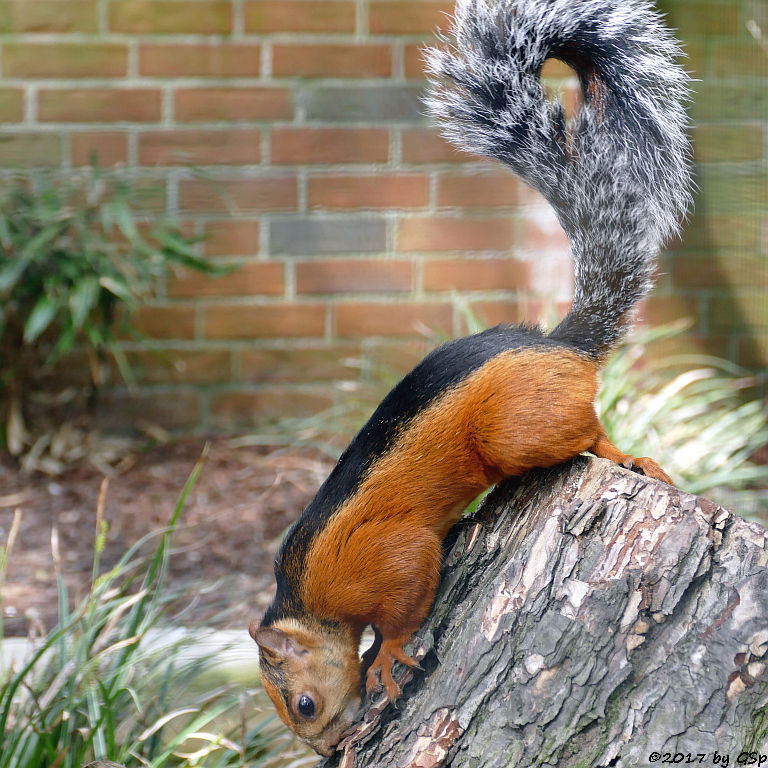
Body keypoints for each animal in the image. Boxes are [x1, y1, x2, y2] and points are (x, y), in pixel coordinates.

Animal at [250, 0, 688, 756]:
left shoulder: (379, 557)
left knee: (589, 433)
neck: (312, 603)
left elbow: (403, 594)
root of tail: (559, 348)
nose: (329, 749)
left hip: (519, 427)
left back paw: (623, 453)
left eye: (303, 703)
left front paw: (389, 655)